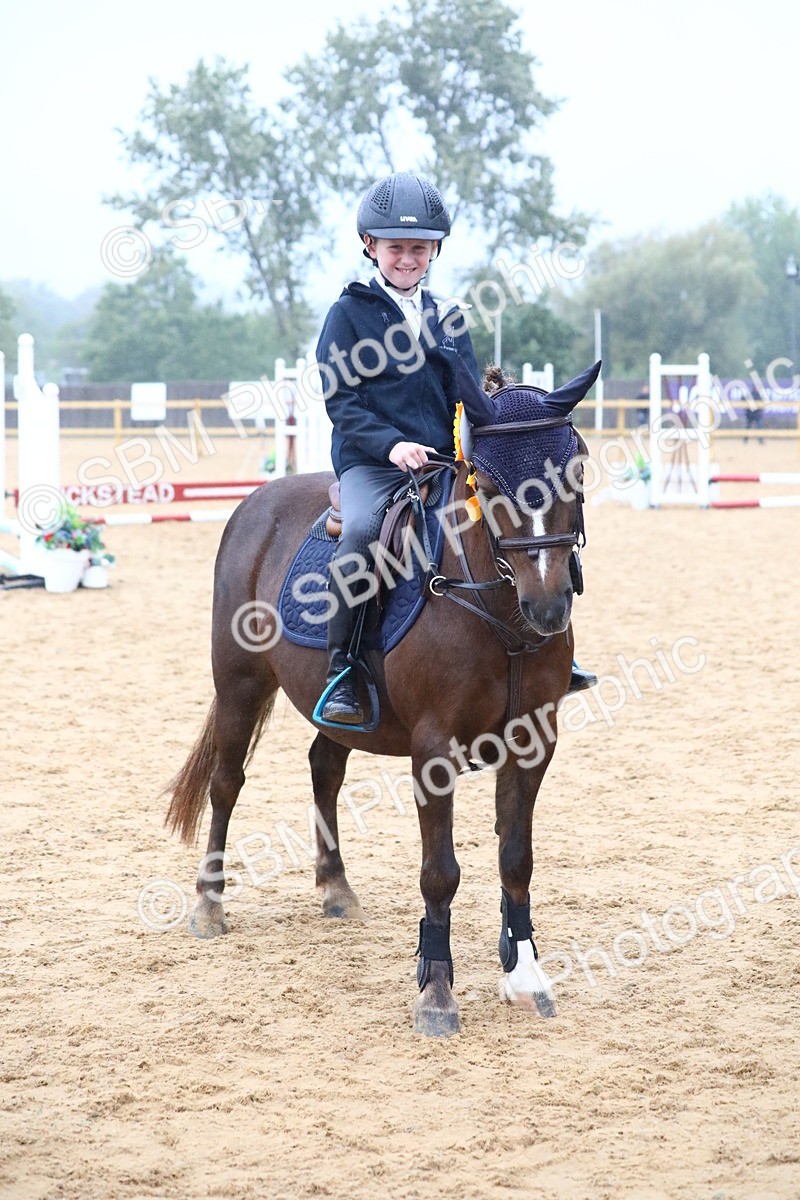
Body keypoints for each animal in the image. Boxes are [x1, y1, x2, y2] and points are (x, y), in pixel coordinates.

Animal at [165, 359, 599, 1036]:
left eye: (576, 470)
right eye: (486, 481)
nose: (549, 606)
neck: (499, 613)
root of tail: (258, 503)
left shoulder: (533, 741)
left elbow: (516, 859)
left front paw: (525, 976)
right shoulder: (433, 749)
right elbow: (440, 873)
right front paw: (437, 993)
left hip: (345, 714)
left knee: (324, 766)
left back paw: (335, 888)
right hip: (239, 683)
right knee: (226, 783)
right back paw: (209, 906)